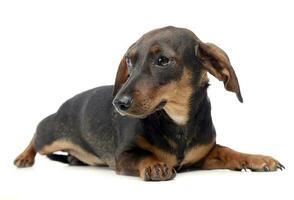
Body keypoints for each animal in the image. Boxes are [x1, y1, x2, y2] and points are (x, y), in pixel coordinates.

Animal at [13, 25, 284, 180]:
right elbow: (143, 156)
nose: (118, 103)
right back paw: (24, 157)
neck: (177, 122)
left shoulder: (202, 157)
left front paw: (258, 159)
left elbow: (229, 152)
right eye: (129, 61)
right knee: (36, 136)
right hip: (50, 136)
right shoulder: (124, 156)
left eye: (163, 60)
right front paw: (155, 165)